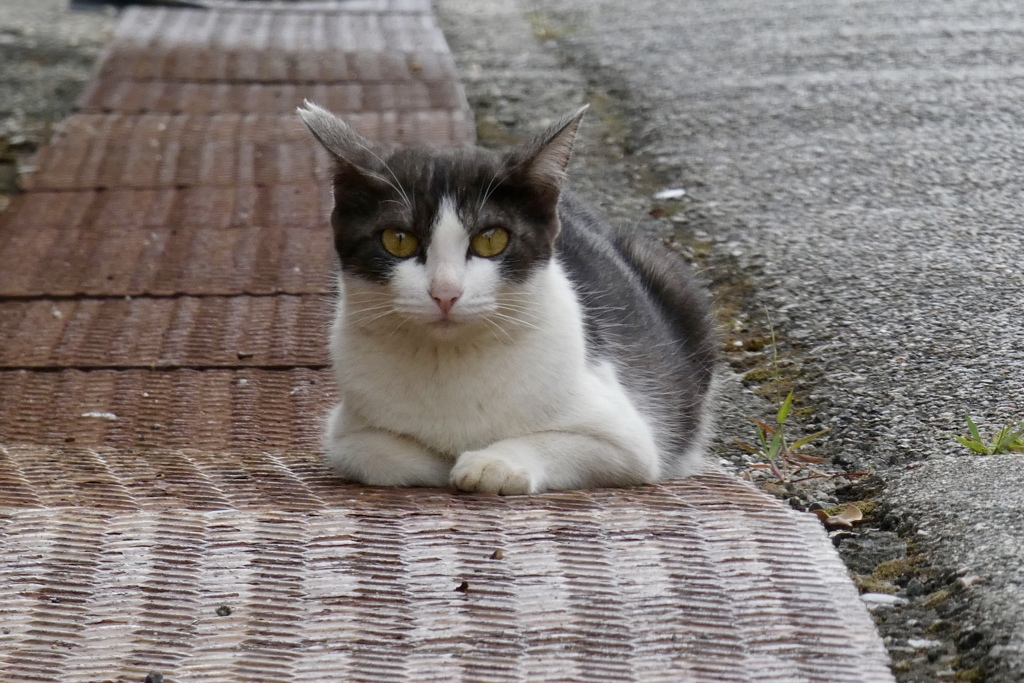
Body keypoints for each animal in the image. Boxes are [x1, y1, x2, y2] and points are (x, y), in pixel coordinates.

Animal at [299, 101, 720, 493]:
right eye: (398, 239)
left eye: (491, 239)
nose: (445, 292)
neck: (450, 359)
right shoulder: (347, 434)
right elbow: (378, 455)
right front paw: (448, 459)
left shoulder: (627, 437)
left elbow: (555, 442)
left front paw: (493, 463)